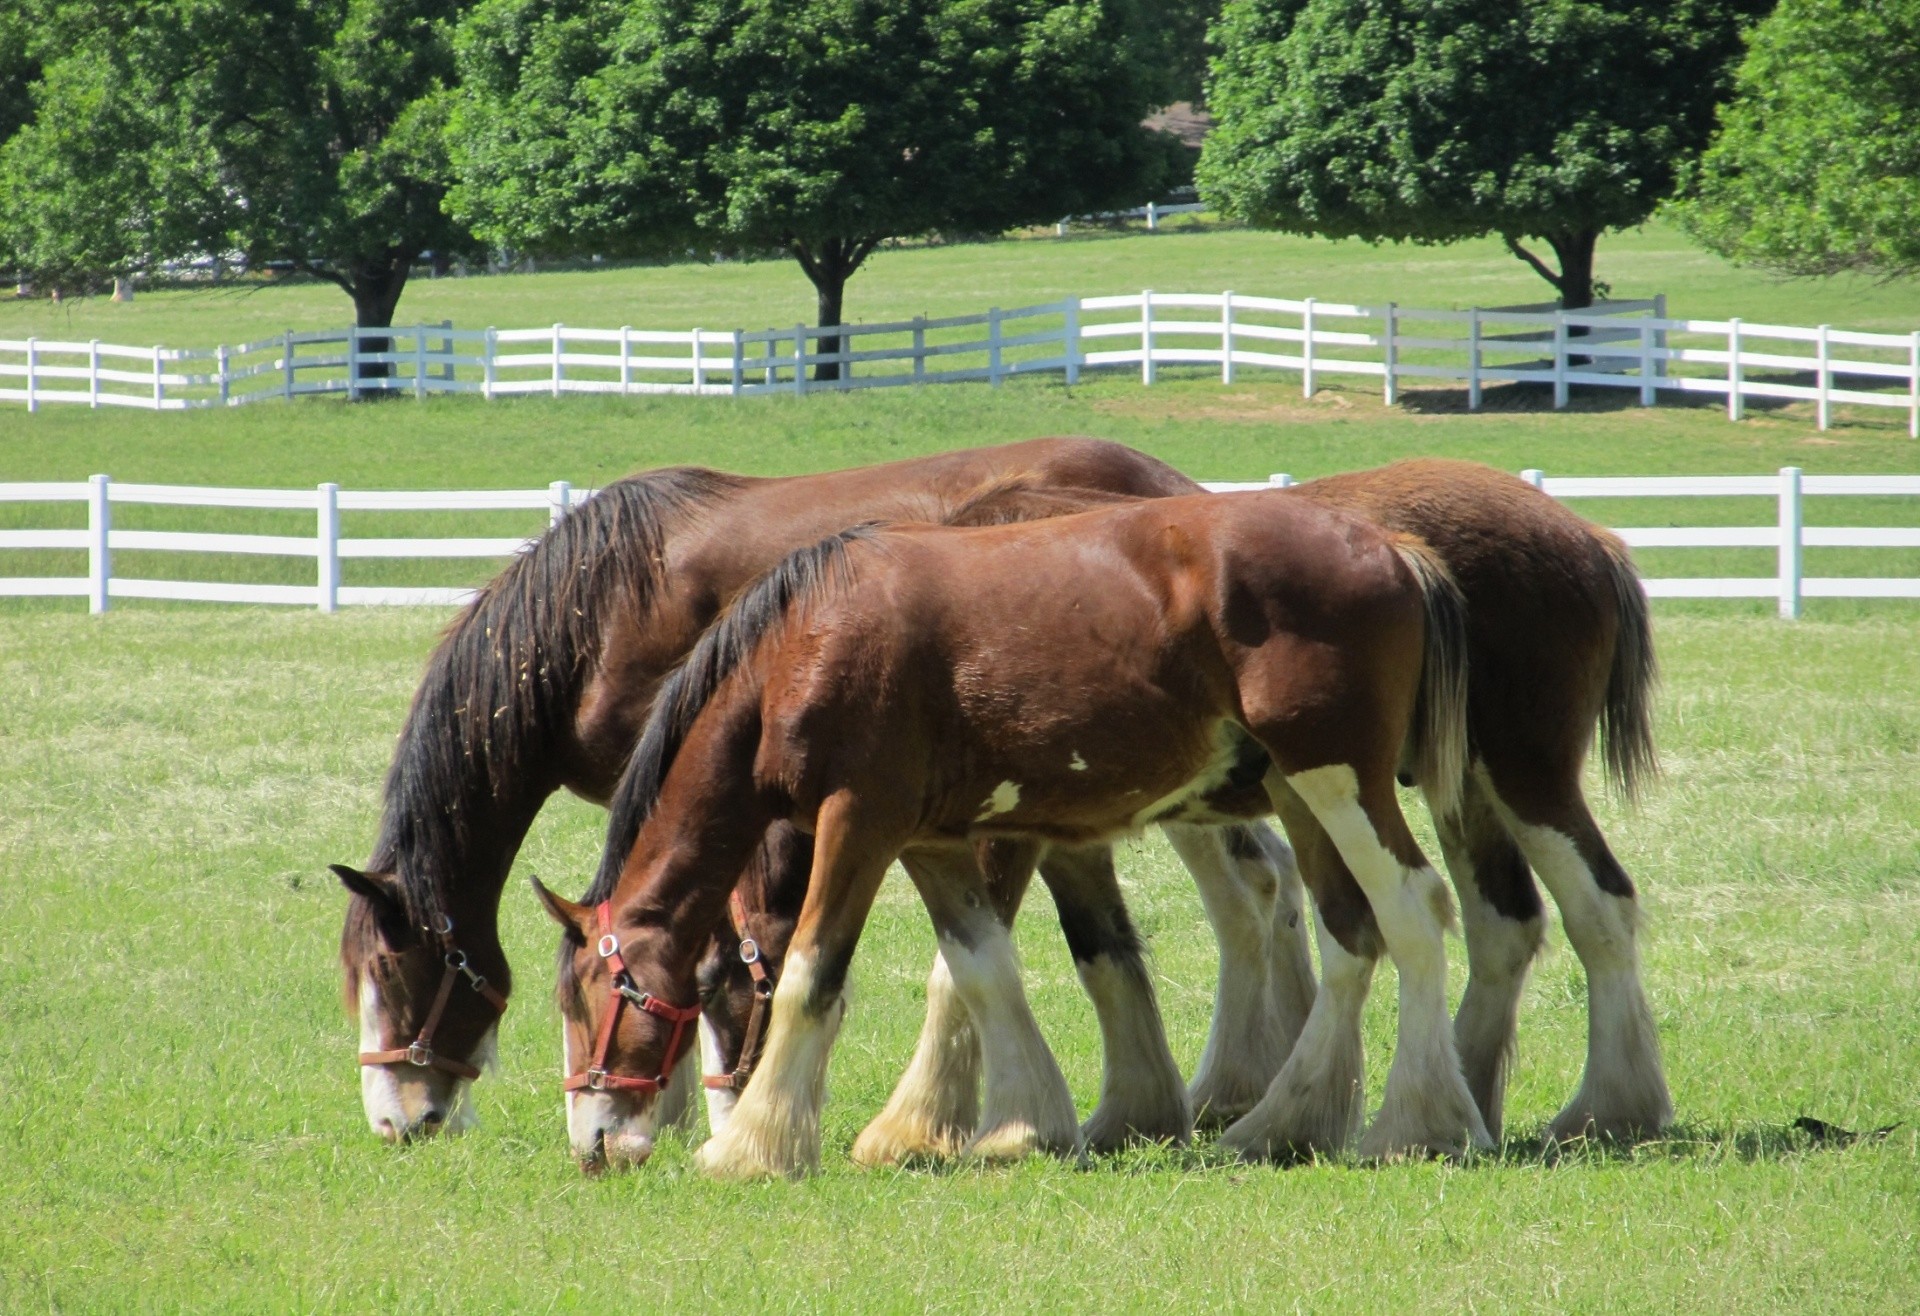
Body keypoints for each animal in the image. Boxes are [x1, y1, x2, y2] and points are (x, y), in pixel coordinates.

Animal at [333, 438, 1311, 1143]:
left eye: (389, 971)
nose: (395, 1121)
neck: (602, 609)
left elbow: (728, 954)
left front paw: (710, 1113)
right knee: (1268, 878)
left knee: (1252, 885)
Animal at [535, 489, 1475, 1177]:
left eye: (592, 996)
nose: (594, 1143)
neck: (804, 645)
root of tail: (1388, 544)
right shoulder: (931, 839)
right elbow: (981, 966)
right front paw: (1020, 1127)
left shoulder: (859, 824)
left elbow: (812, 973)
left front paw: (752, 1149)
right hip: (1299, 790)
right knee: (1350, 932)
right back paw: (1284, 1124)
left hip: (1337, 780)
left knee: (1415, 911)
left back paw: (1417, 1125)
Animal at [692, 460, 1670, 1155]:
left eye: (709, 983)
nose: (702, 1115)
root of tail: (1588, 536)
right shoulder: (1072, 822)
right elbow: (1106, 949)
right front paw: (1126, 1108)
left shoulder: (992, 823)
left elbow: (966, 964)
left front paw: (930, 1126)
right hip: (1451, 786)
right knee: (1500, 921)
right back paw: (1437, 1098)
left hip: (1515, 772)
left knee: (1588, 907)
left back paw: (1586, 1109)